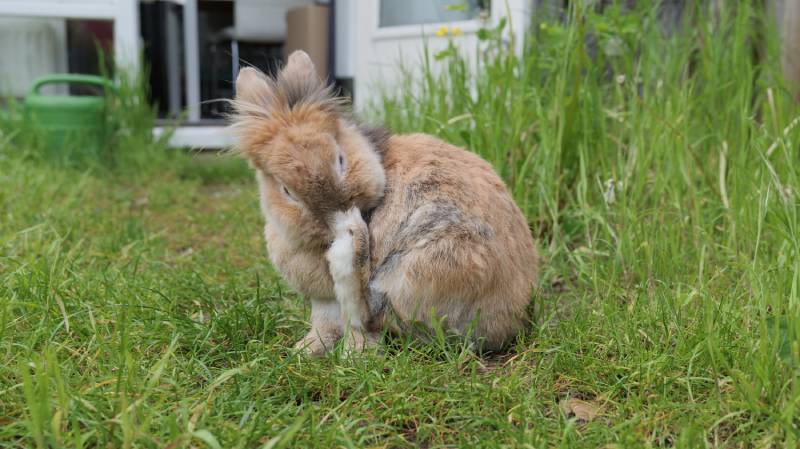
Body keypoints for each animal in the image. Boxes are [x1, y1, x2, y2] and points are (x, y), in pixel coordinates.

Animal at [231, 51, 538, 355]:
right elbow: (324, 323)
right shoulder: (323, 302)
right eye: (287, 191)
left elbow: (354, 320)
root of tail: (510, 321)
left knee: (369, 312)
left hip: (414, 274)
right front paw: (306, 349)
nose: (338, 212)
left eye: (340, 159)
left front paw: (346, 353)